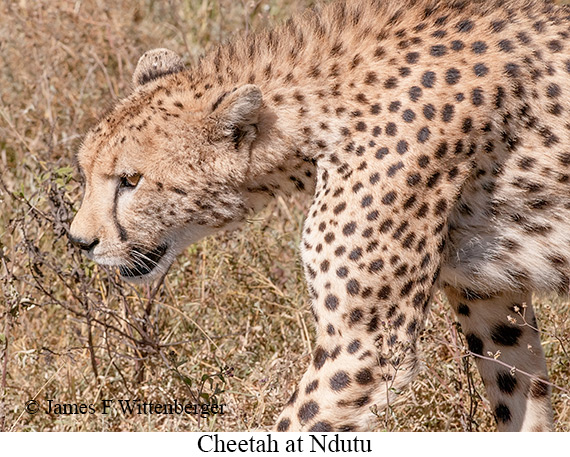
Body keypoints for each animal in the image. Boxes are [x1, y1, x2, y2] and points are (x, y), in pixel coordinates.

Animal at [69, 0, 564, 430]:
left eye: (131, 180)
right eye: (86, 170)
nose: (79, 240)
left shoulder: (366, 345)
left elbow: (295, 424)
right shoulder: (492, 297)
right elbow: (522, 403)